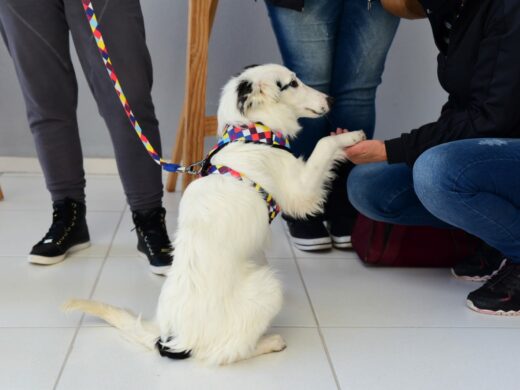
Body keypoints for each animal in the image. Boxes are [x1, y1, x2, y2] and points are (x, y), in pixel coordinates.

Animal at [66, 64, 366, 366]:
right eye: (292, 84)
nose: (331, 100)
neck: (251, 132)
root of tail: (170, 338)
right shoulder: (300, 191)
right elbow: (324, 144)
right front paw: (350, 137)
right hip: (268, 289)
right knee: (227, 352)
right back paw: (269, 342)